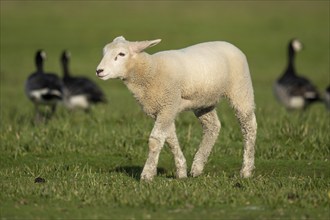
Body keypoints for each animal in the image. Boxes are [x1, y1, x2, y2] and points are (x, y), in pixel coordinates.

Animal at [95, 36, 258, 180]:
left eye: (121, 54)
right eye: (104, 52)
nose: (99, 71)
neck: (151, 71)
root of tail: (230, 44)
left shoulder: (168, 105)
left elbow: (155, 140)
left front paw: (147, 174)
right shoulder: (161, 109)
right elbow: (170, 139)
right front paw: (181, 171)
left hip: (240, 89)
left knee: (249, 126)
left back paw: (246, 170)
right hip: (203, 102)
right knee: (212, 127)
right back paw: (197, 167)